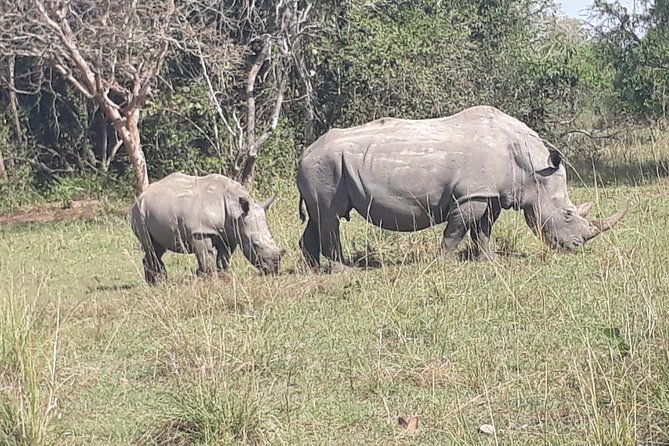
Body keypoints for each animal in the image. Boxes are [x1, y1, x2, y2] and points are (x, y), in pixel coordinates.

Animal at [131, 172, 283, 284]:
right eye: (255, 244)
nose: (274, 269)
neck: (235, 210)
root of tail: (140, 196)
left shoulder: (230, 233)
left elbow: (224, 257)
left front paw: (222, 277)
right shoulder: (201, 231)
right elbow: (206, 256)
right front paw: (209, 280)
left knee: (157, 247)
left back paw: (155, 281)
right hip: (139, 213)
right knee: (151, 246)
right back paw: (158, 283)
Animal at [296, 105, 627, 266]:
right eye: (568, 214)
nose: (575, 246)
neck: (532, 168)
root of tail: (305, 152)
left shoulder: (490, 195)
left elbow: (483, 230)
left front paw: (490, 261)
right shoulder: (471, 195)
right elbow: (456, 231)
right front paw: (443, 263)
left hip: (321, 167)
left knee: (318, 216)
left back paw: (314, 270)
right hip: (326, 166)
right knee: (330, 217)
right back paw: (342, 270)